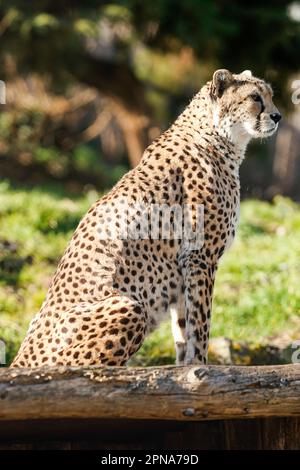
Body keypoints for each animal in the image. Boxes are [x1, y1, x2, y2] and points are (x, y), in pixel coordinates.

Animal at [9, 69, 282, 368]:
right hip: (130, 308)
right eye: (255, 98)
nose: (278, 116)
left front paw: (185, 367)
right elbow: (200, 324)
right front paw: (201, 365)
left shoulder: (184, 269)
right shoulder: (200, 257)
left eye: (270, 95)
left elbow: (184, 327)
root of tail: (19, 360)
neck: (216, 136)